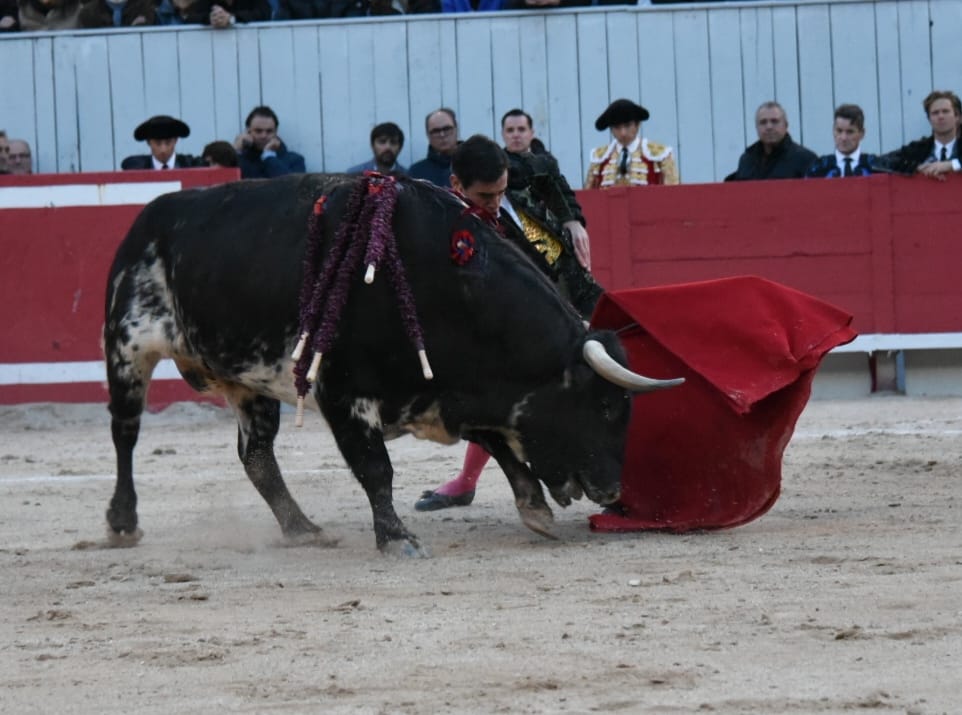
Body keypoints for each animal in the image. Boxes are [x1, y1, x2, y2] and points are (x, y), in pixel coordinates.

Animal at [103, 173, 682, 556]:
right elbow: (377, 468)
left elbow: (497, 443)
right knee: (126, 434)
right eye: (604, 406)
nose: (612, 491)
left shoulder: (454, 392)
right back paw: (122, 523)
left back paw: (302, 528)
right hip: (128, 348)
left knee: (257, 456)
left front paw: (534, 510)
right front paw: (398, 538)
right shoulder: (342, 393)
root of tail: (148, 219)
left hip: (248, 381)